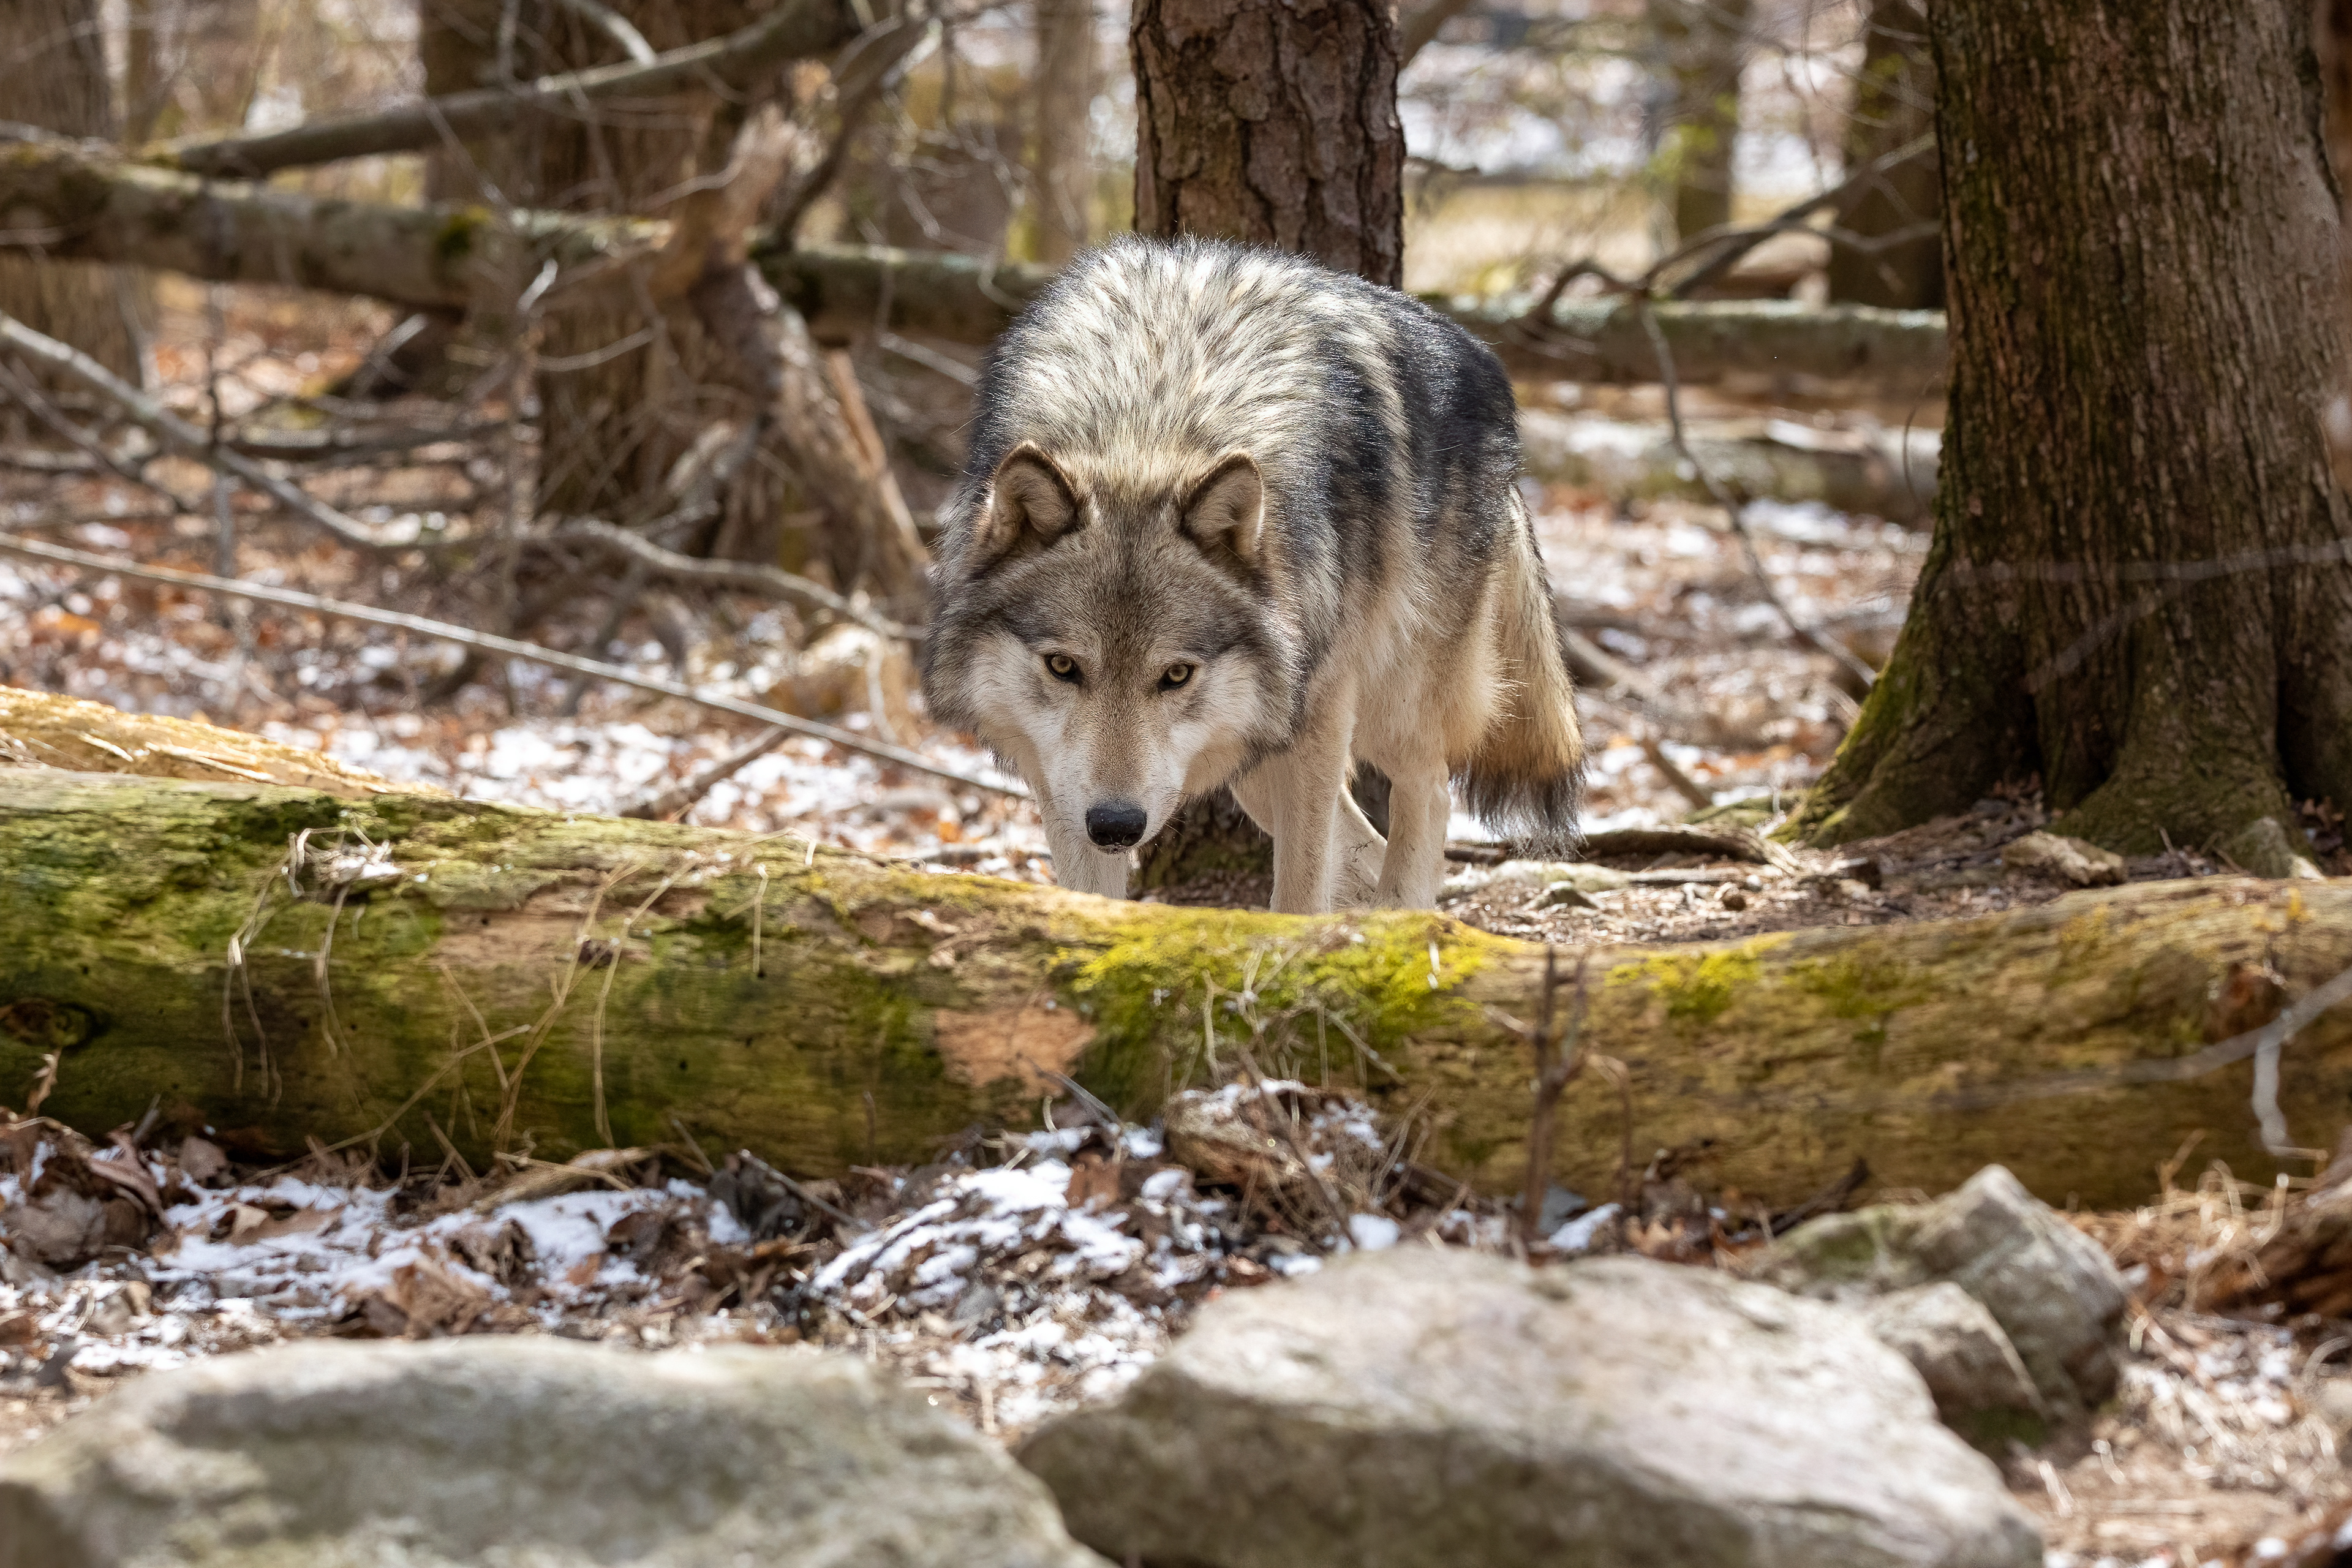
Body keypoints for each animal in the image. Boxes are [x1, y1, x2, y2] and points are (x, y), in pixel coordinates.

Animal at [921, 234, 1584, 913]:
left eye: (1176, 675)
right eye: (1062, 666)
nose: (1116, 825)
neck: (1150, 423)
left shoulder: (1317, 722)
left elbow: (1300, 894)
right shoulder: (1061, 776)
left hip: (1383, 709)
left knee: (1428, 796)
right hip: (1257, 758)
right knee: (1368, 849)